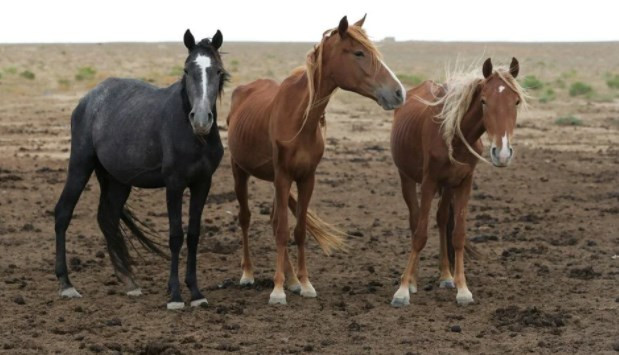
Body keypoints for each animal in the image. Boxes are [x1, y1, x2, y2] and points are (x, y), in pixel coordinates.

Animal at [54, 29, 230, 310]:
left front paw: (196, 293)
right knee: (63, 213)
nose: (201, 120)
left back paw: (129, 282)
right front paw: (175, 296)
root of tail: (88, 99)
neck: (193, 137)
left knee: (107, 218)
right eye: (186, 69)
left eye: (218, 71)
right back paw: (66, 284)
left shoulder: (203, 183)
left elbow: (193, 235)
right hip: (80, 164)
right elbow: (175, 236)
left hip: (118, 181)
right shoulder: (174, 184)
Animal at [228, 15, 406, 306]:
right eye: (359, 53)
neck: (300, 117)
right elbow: (282, 231)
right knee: (245, 218)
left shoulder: (305, 178)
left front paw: (303, 283)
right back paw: (248, 274)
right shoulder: (283, 176)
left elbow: (297, 230)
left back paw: (290, 279)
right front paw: (277, 290)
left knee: (275, 220)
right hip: (239, 171)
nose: (399, 93)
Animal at [390, 57, 524, 308]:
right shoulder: (429, 181)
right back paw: (413, 280)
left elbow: (458, 234)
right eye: (484, 101)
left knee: (442, 219)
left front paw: (462, 288)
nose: (502, 154)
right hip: (407, 178)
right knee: (415, 220)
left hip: (448, 187)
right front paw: (402, 290)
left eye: (516, 102)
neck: (453, 136)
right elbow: (420, 234)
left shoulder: (463, 182)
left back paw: (445, 275)